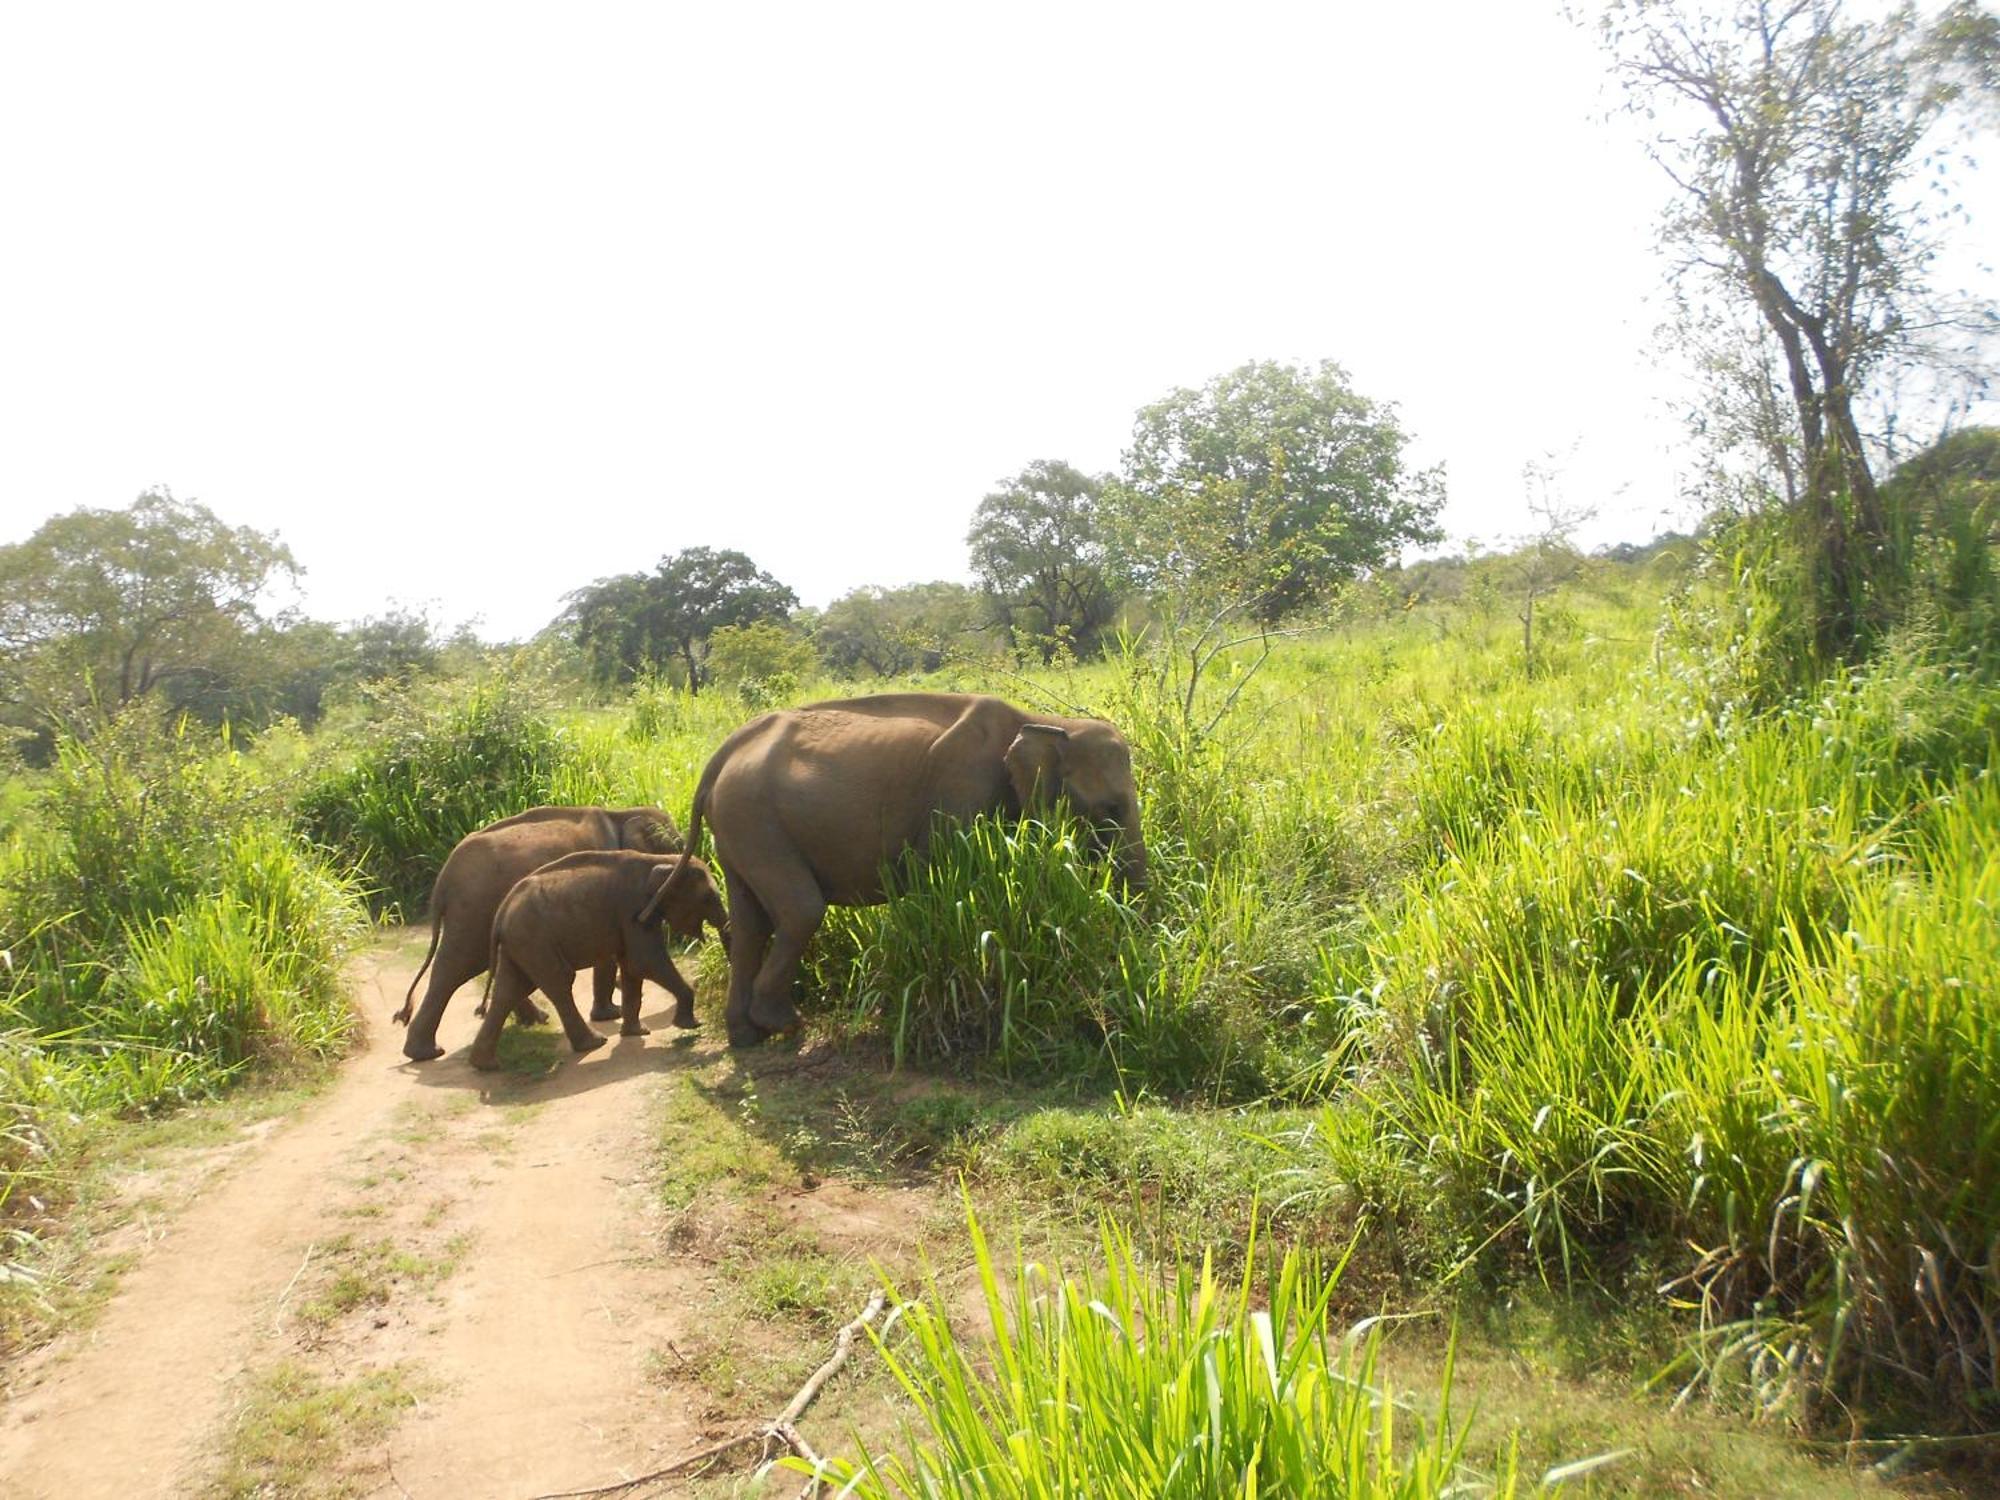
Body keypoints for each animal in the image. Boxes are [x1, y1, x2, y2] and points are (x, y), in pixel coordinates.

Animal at [394, 804, 684, 1064]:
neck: (622, 814)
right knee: (456, 968)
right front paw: (610, 1014)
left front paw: (610, 1011)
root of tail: (442, 881)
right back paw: (427, 1053)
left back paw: (534, 1020)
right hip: (474, 910)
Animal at [472, 852, 732, 1072]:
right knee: (558, 983)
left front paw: (637, 1032)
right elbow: (644, 962)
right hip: (534, 940)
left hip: (520, 945)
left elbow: (632, 967)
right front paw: (691, 1025)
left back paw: (485, 1064)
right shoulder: (633, 911)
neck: (663, 860)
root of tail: (500, 915)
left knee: (510, 990)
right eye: (708, 898)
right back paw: (594, 1043)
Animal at [668, 692, 1144, 1048]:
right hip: (754, 820)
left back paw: (746, 1036)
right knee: (800, 911)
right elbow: (947, 881)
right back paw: (783, 1024)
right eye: (1111, 809)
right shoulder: (961, 794)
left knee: (750, 924)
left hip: (738, 829)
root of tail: (723, 754)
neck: (1043, 721)